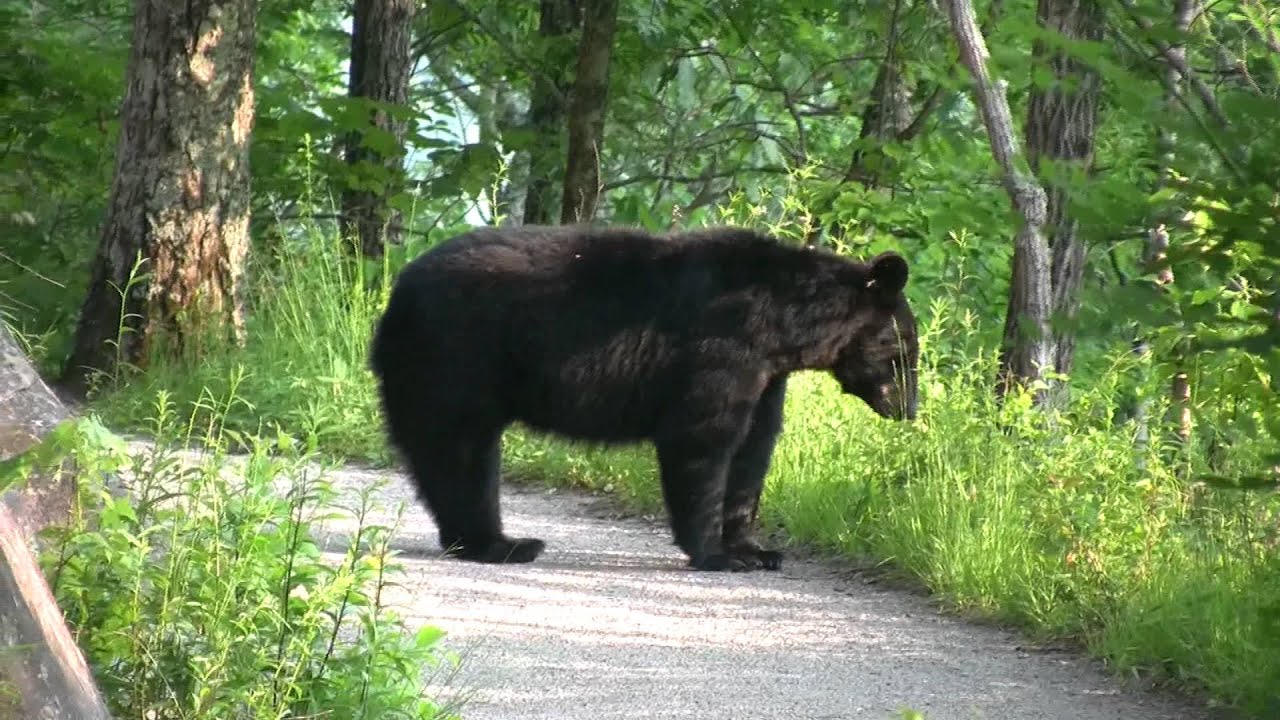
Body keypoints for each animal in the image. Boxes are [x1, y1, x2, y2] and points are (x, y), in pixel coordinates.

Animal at [371, 221, 921, 568]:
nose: (908, 410)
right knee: (459, 453)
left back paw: (496, 542)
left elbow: (754, 448)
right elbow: (703, 439)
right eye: (907, 352)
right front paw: (716, 554)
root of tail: (398, 292)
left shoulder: (766, 376)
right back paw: (497, 544)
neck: (782, 324)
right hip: (455, 362)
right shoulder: (722, 348)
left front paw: (756, 549)